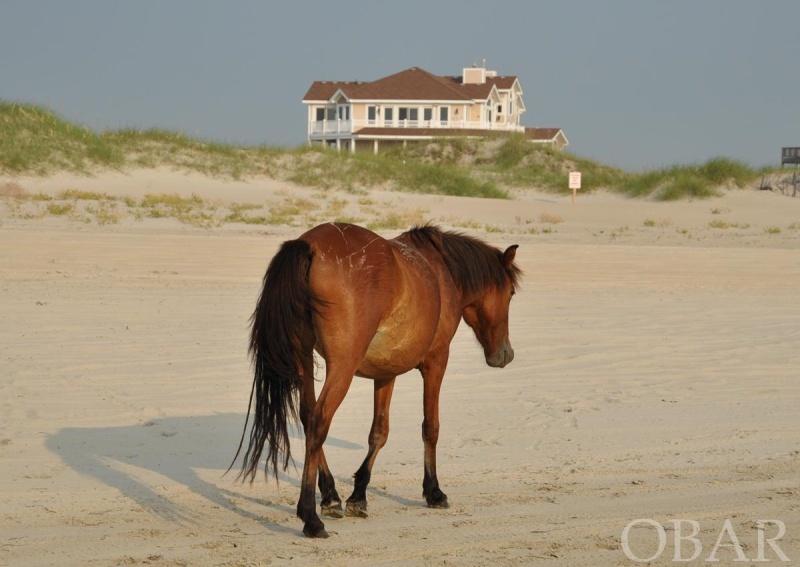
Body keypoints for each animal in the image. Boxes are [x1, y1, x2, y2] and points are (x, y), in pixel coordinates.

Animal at [233, 222, 520, 536]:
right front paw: (433, 491)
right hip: (343, 367)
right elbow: (430, 427)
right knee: (319, 421)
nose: (505, 354)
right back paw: (310, 516)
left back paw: (331, 496)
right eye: (511, 293)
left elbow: (379, 432)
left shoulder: (386, 372)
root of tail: (310, 246)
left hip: (304, 358)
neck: (443, 270)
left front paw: (358, 495)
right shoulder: (436, 361)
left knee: (309, 417)